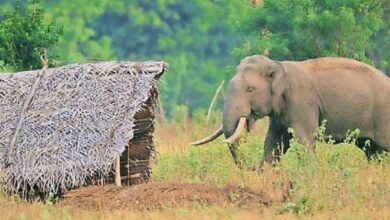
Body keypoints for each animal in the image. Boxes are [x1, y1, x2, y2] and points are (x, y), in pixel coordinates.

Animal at [192, 55, 390, 167]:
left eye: (249, 89)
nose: (250, 167)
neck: (279, 66)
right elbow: (275, 142)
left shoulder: (302, 103)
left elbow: (304, 141)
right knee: (373, 152)